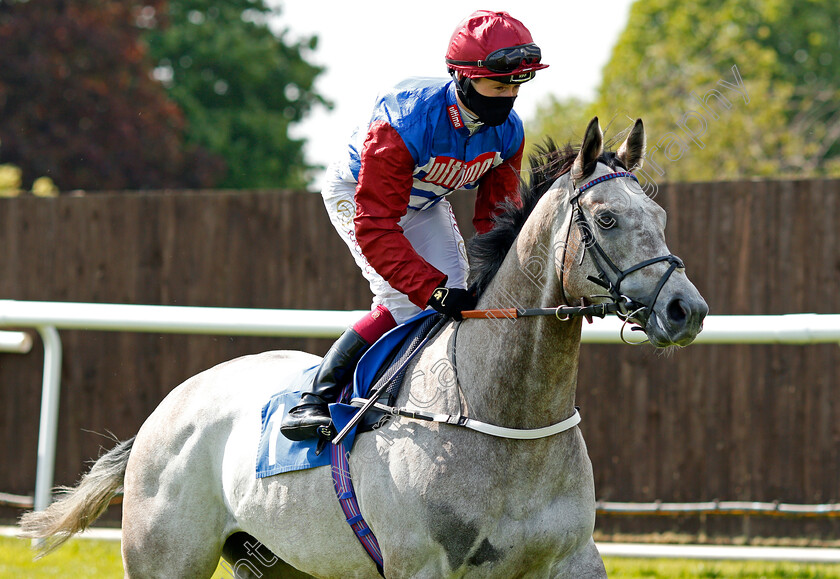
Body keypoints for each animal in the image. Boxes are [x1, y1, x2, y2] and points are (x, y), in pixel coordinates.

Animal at [19, 115, 708, 576]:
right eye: (608, 219)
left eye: (660, 216)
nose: (687, 310)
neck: (504, 415)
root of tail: (164, 412)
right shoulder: (419, 565)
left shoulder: (571, 559)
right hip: (165, 558)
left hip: (280, 560)